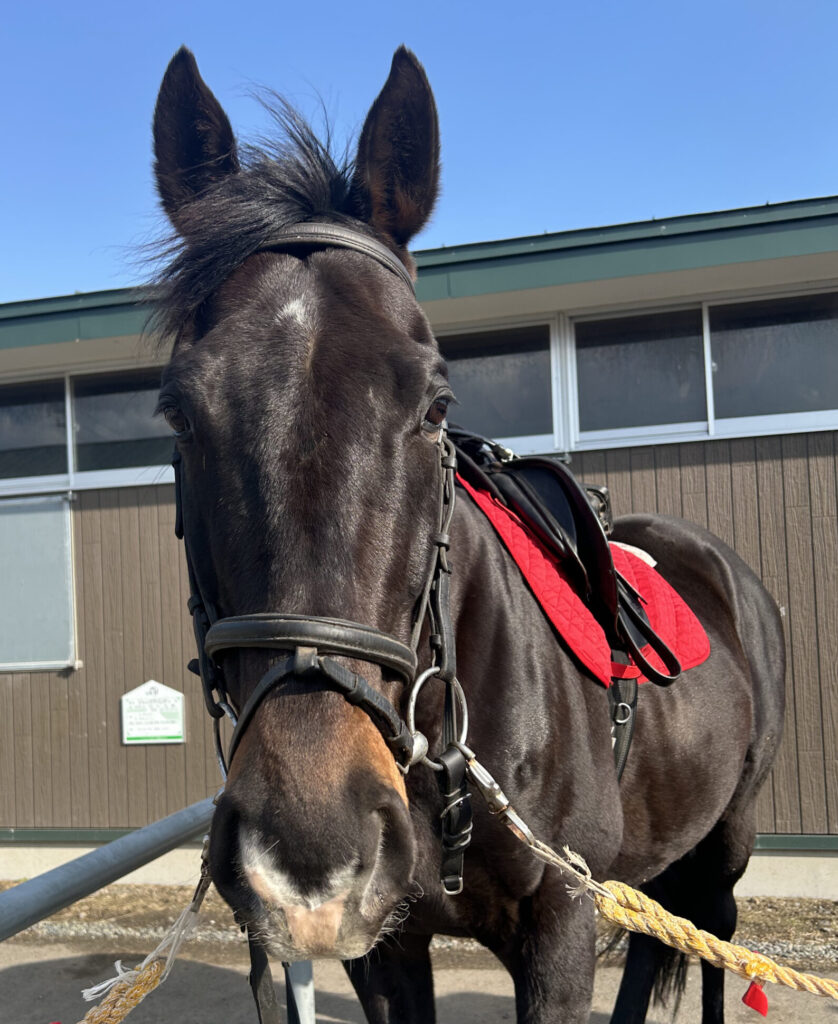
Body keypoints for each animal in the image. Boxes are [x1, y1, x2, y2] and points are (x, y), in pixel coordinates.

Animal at [151, 45, 786, 1023]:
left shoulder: (561, 927)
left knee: (708, 940)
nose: (308, 852)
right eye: (178, 412)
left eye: (435, 405)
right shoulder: (383, 951)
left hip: (726, 843)